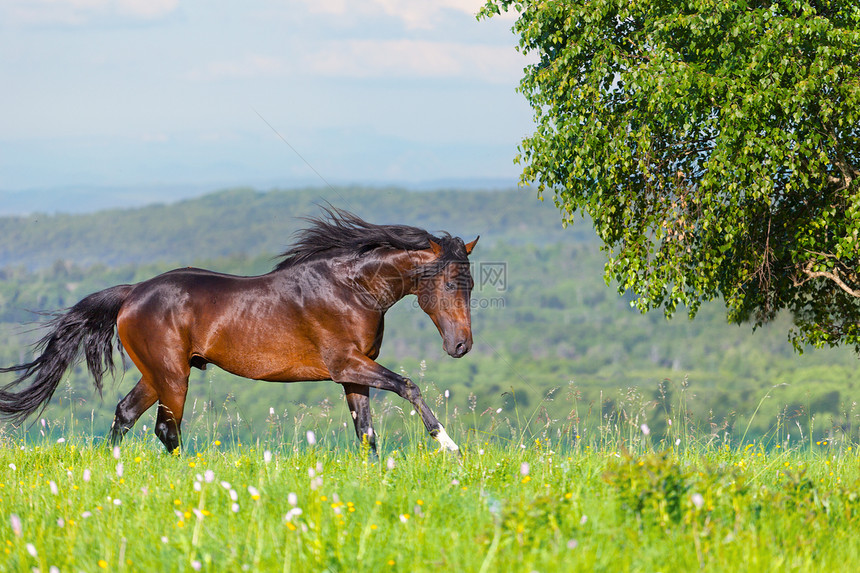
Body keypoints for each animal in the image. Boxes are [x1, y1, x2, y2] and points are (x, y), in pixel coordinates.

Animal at [0, 207, 478, 456]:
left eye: (471, 284)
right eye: (449, 284)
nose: (461, 346)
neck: (351, 289)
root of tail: (133, 293)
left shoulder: (352, 374)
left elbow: (367, 432)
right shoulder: (347, 364)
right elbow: (408, 385)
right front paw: (448, 445)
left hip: (157, 374)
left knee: (126, 414)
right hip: (173, 376)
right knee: (165, 429)